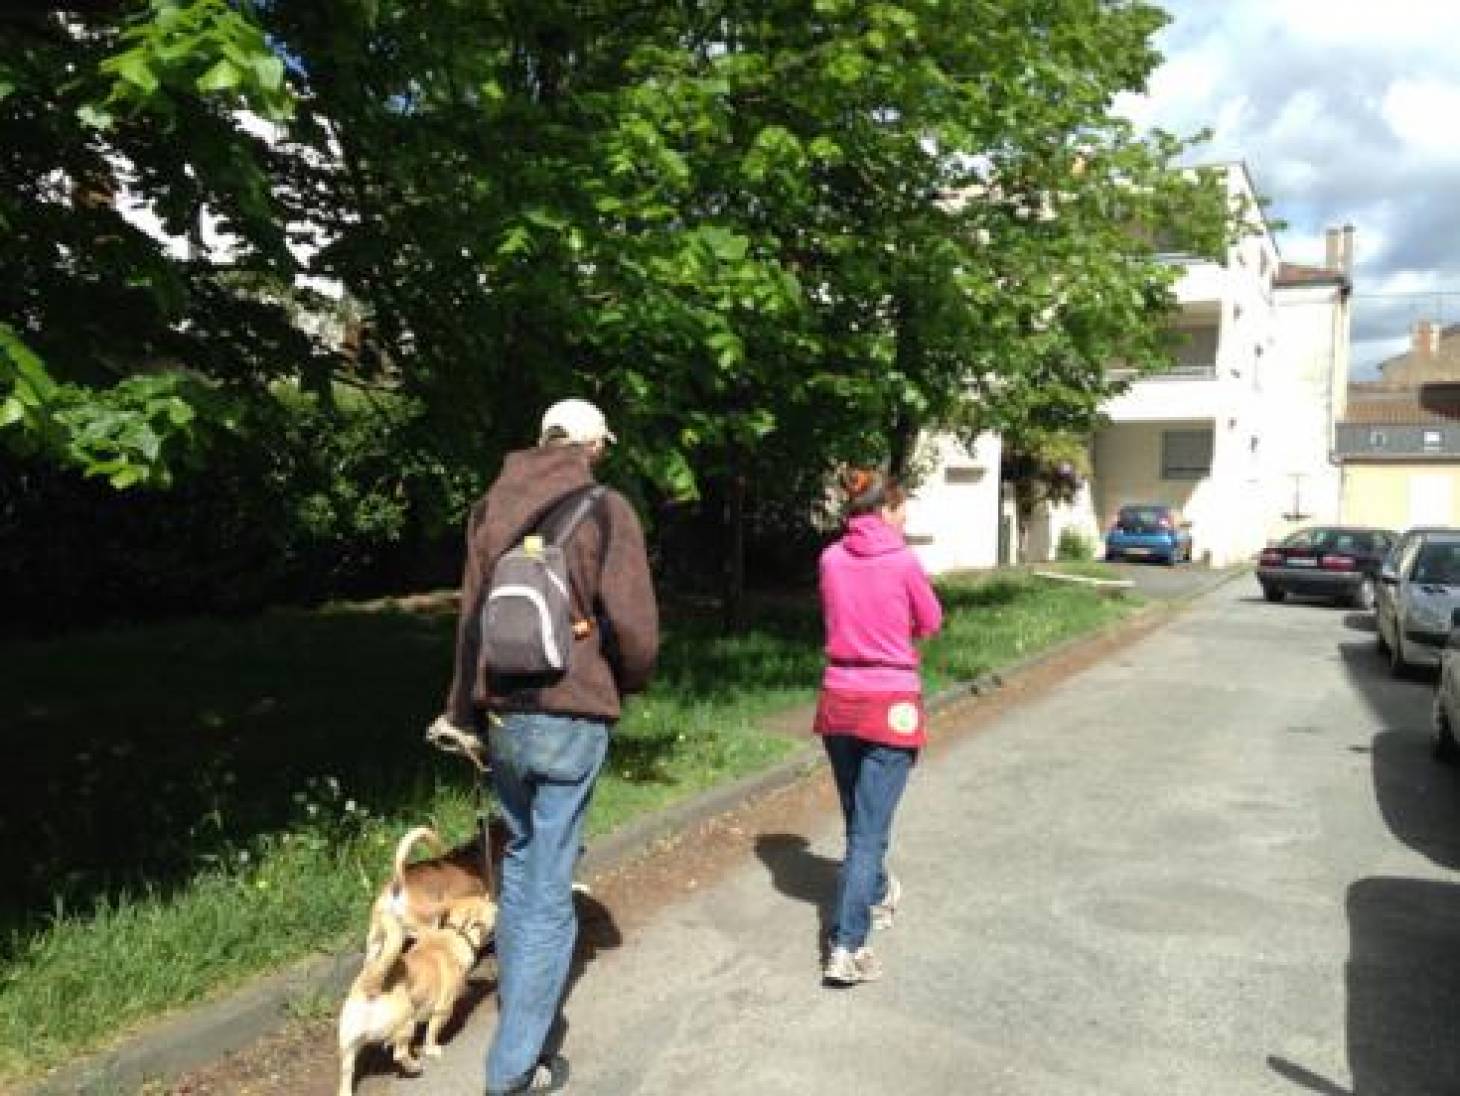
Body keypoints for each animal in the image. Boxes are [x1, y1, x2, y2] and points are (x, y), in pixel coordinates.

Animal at [338, 893, 499, 1091]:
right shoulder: (443, 1010)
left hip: (348, 1045)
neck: (455, 935)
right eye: (496, 912)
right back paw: (415, 1066)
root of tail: (372, 984)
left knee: (347, 1072)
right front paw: (432, 1050)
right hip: (408, 1021)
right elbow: (431, 1033)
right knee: (399, 1053)